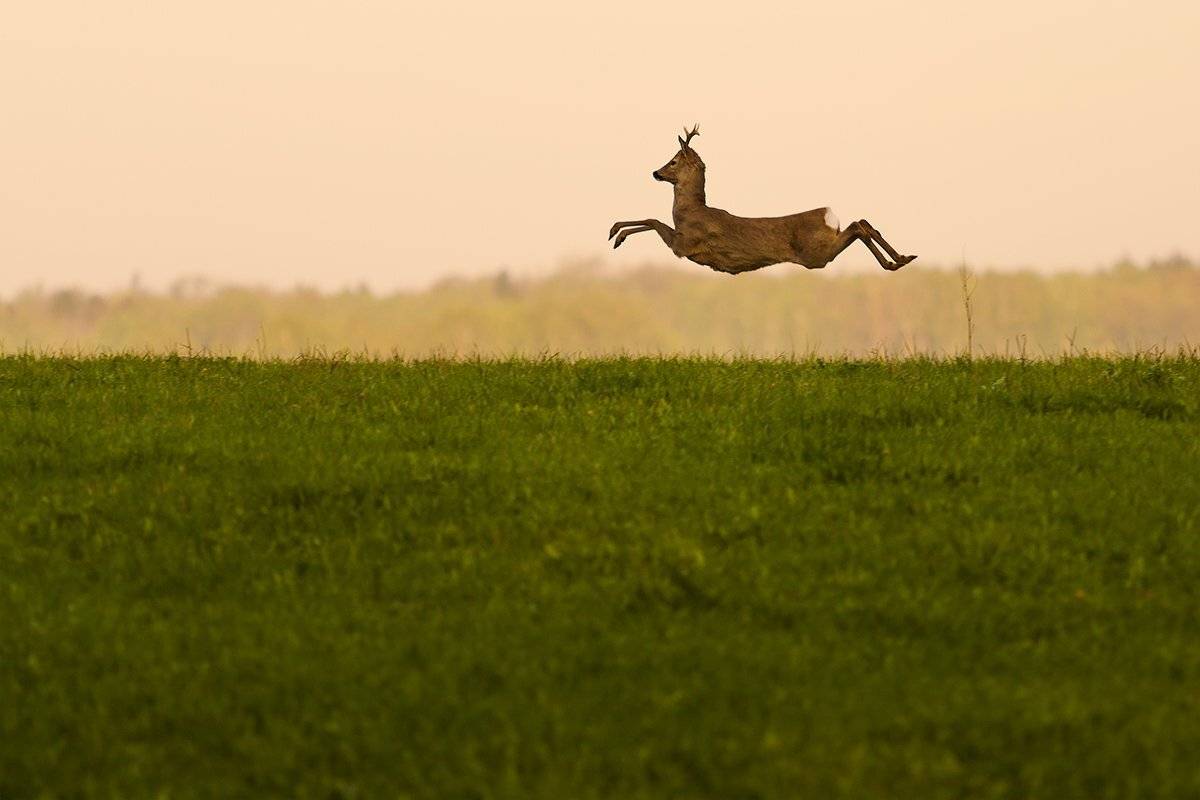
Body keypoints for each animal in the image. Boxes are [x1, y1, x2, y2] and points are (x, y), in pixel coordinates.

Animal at [609, 126, 916, 273]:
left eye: (672, 161)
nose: (655, 172)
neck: (690, 211)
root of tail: (828, 214)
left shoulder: (683, 245)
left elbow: (653, 220)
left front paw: (615, 233)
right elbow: (652, 220)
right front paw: (616, 234)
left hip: (816, 254)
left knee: (858, 226)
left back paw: (896, 261)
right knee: (862, 222)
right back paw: (901, 259)